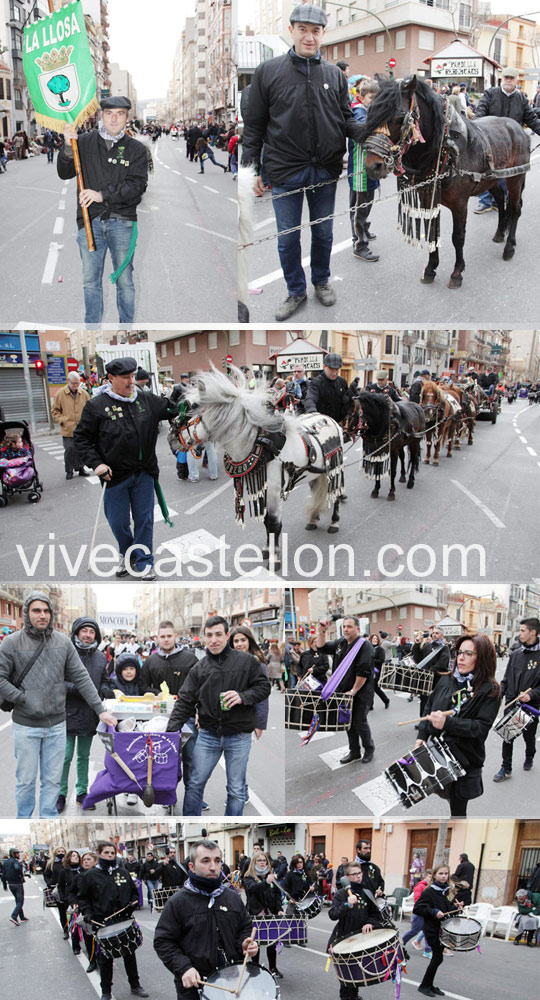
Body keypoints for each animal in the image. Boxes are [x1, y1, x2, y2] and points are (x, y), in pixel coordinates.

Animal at [173, 368, 346, 572]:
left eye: (192, 407)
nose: (170, 437)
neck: (262, 446)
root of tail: (329, 419)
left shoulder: (275, 493)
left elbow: (274, 525)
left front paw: (275, 558)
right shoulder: (260, 489)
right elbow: (265, 522)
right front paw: (267, 549)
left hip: (335, 468)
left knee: (336, 494)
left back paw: (334, 522)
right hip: (315, 473)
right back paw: (313, 519)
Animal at [362, 74, 532, 284]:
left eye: (400, 118)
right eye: (370, 113)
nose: (373, 166)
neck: (446, 149)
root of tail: (518, 127)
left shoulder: (460, 203)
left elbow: (457, 237)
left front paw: (457, 272)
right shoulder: (428, 198)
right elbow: (431, 231)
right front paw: (430, 268)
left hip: (515, 177)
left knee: (515, 208)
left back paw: (509, 247)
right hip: (491, 179)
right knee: (501, 200)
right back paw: (500, 233)